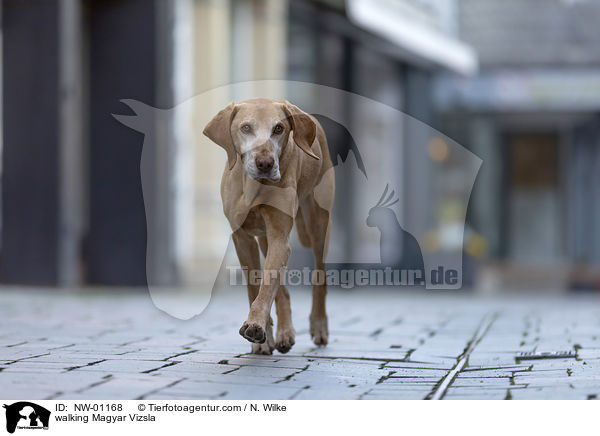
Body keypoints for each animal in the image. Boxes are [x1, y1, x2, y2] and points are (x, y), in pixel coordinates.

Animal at [204, 99, 336, 354]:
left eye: (278, 128)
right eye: (246, 127)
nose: (265, 163)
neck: (256, 186)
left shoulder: (279, 236)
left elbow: (267, 285)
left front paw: (256, 325)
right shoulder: (242, 238)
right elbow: (255, 284)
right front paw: (263, 337)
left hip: (318, 222)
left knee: (319, 275)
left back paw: (318, 326)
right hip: (265, 239)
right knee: (281, 288)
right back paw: (283, 334)